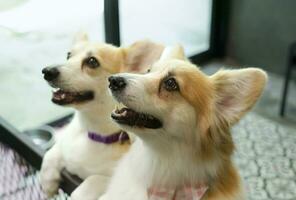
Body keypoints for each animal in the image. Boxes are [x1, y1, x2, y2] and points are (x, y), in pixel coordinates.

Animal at [39, 33, 164, 200]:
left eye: (92, 62)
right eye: (68, 55)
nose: (47, 71)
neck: (92, 132)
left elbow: (92, 181)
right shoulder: (65, 142)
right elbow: (52, 152)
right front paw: (47, 183)